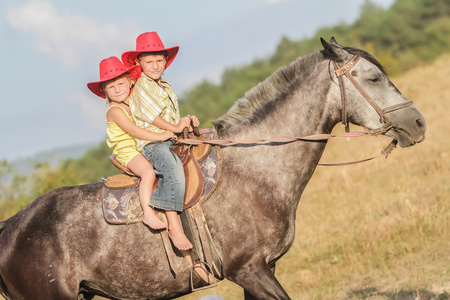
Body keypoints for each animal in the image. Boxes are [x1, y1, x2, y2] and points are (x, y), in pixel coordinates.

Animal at [0, 38, 426, 300]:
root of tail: (9, 229)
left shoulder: (262, 270)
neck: (256, 172)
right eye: (373, 77)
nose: (418, 123)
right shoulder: (250, 270)